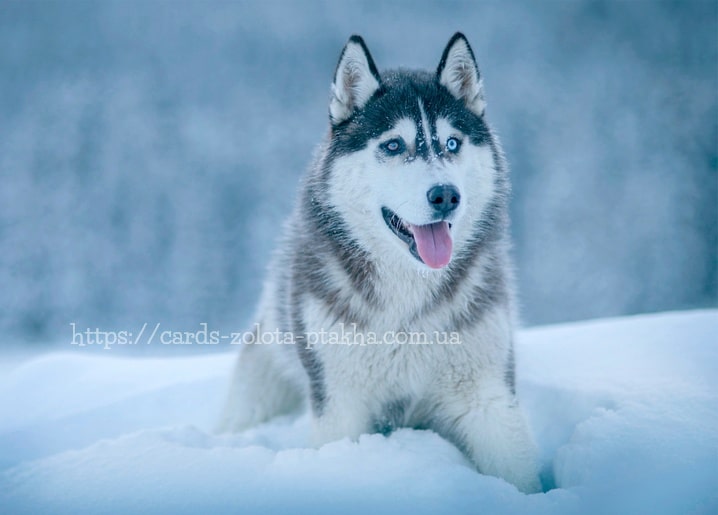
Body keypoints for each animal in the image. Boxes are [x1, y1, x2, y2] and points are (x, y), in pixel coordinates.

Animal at [222, 33, 544, 496]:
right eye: (393, 145)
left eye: (452, 143)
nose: (446, 195)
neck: (406, 303)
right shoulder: (341, 403)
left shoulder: (487, 395)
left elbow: (518, 473)